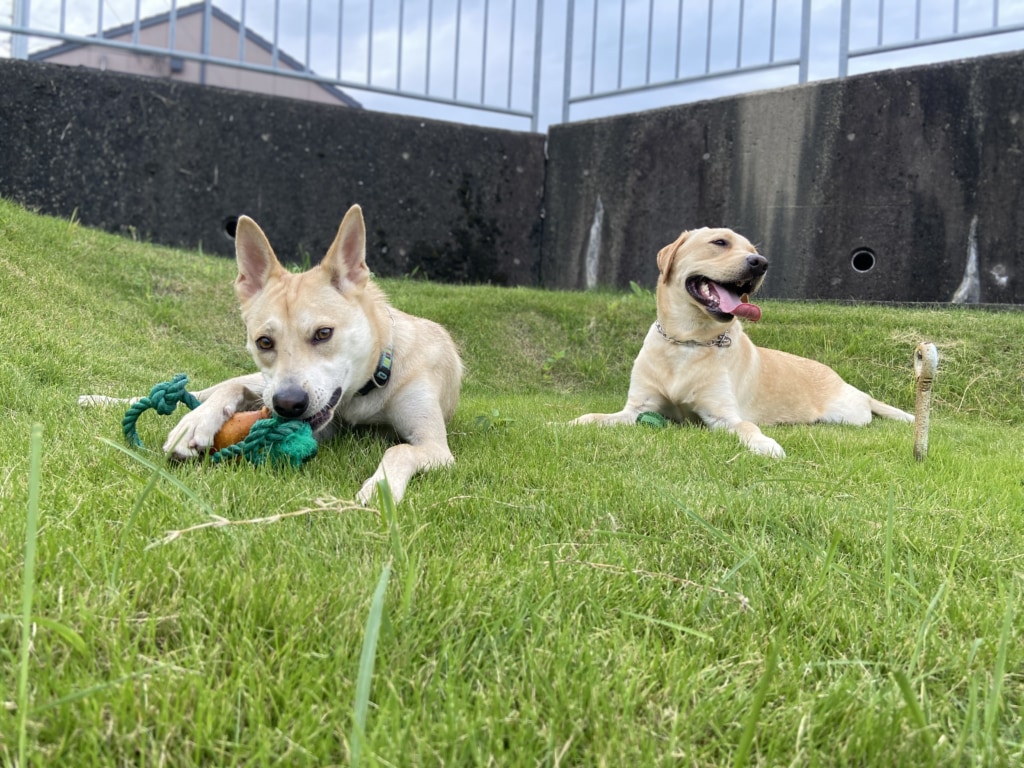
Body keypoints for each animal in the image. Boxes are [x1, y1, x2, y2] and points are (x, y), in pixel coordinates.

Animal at [163, 205, 464, 505]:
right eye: (264, 342)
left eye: (323, 333)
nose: (288, 404)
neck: (372, 382)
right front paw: (197, 421)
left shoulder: (436, 446)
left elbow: (400, 449)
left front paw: (381, 488)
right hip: (264, 386)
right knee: (226, 387)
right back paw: (189, 414)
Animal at [569, 227, 913, 456]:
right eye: (719, 242)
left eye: (753, 249)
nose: (760, 262)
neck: (687, 341)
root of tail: (847, 384)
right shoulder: (637, 408)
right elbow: (596, 416)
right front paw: (573, 422)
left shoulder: (723, 416)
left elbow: (747, 426)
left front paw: (766, 443)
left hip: (847, 414)